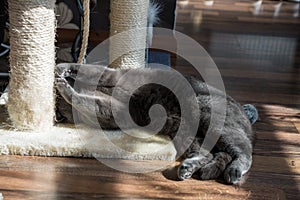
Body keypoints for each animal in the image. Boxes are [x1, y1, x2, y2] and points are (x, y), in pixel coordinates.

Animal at [55, 63, 258, 185]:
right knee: (209, 154)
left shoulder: (111, 78)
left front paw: (62, 73)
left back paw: (234, 171)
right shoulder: (110, 110)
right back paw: (189, 168)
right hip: (186, 133)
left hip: (211, 116)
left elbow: (89, 72)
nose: (57, 112)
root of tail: (245, 114)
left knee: (244, 153)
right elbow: (88, 102)